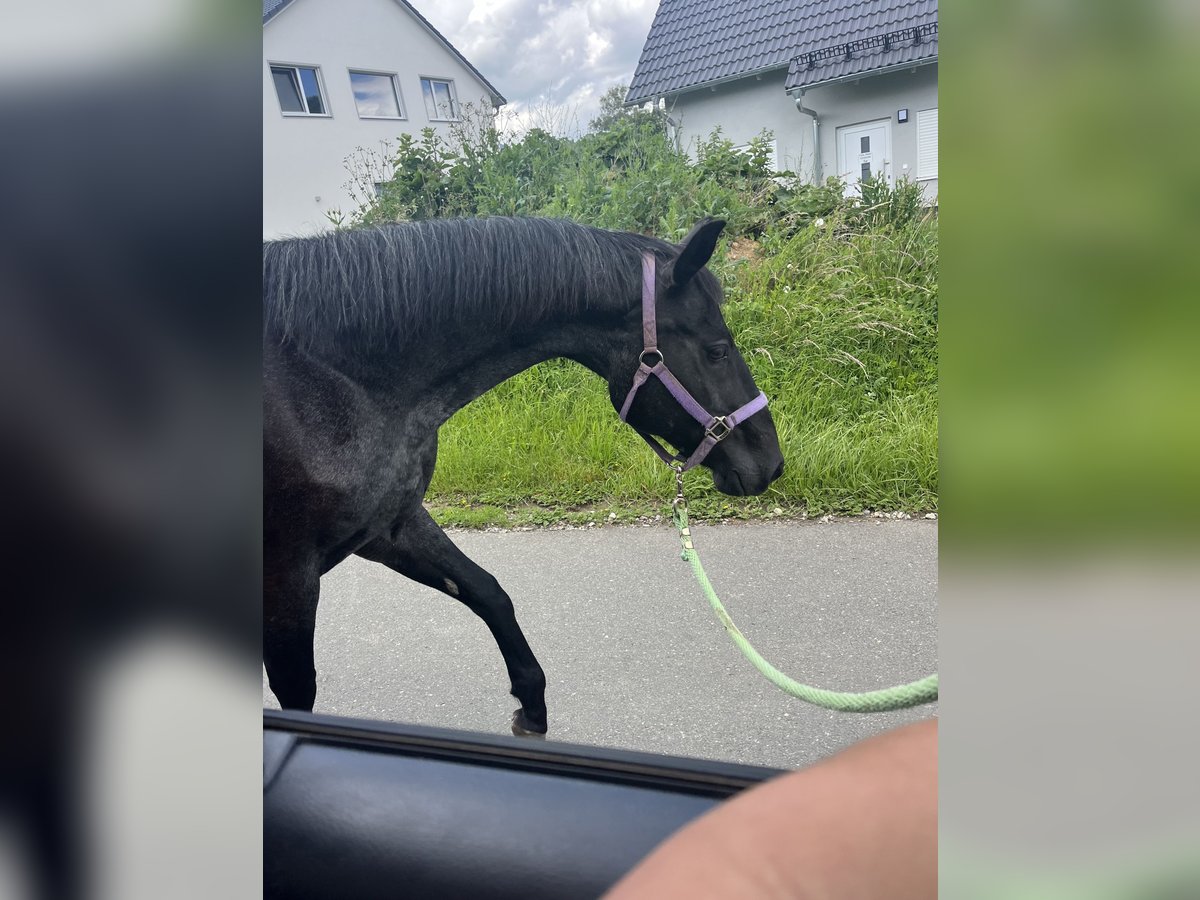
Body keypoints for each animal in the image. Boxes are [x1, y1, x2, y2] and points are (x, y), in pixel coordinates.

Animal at [265, 214, 787, 734]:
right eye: (717, 351)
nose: (771, 463)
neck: (339, 382)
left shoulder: (389, 527)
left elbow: (488, 592)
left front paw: (532, 709)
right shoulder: (289, 577)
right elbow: (298, 689)